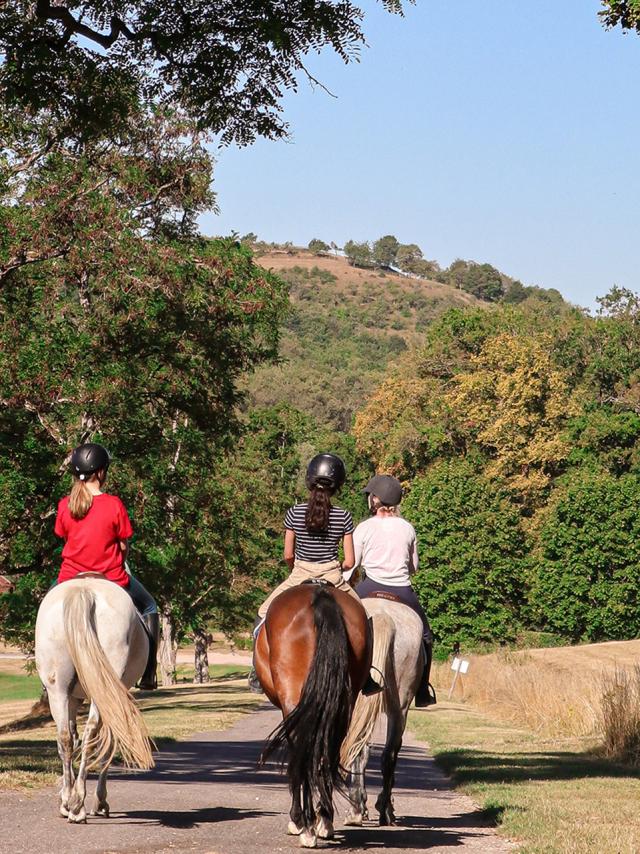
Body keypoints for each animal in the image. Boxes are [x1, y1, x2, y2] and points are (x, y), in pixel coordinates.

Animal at [35, 575, 154, 823]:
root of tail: (84, 591)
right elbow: (107, 742)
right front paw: (99, 800)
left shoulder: (72, 698)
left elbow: (72, 738)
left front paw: (66, 799)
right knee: (92, 735)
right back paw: (78, 803)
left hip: (58, 688)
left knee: (65, 738)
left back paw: (71, 802)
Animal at [255, 582, 372, 849]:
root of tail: (320, 595)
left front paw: (297, 820)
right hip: (342, 703)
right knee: (327, 748)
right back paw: (324, 821)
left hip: (294, 699)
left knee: (303, 751)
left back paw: (306, 825)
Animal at [340, 597, 423, 826]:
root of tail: (382, 615)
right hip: (399, 709)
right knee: (388, 755)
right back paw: (384, 809)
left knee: (361, 751)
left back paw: (357, 809)